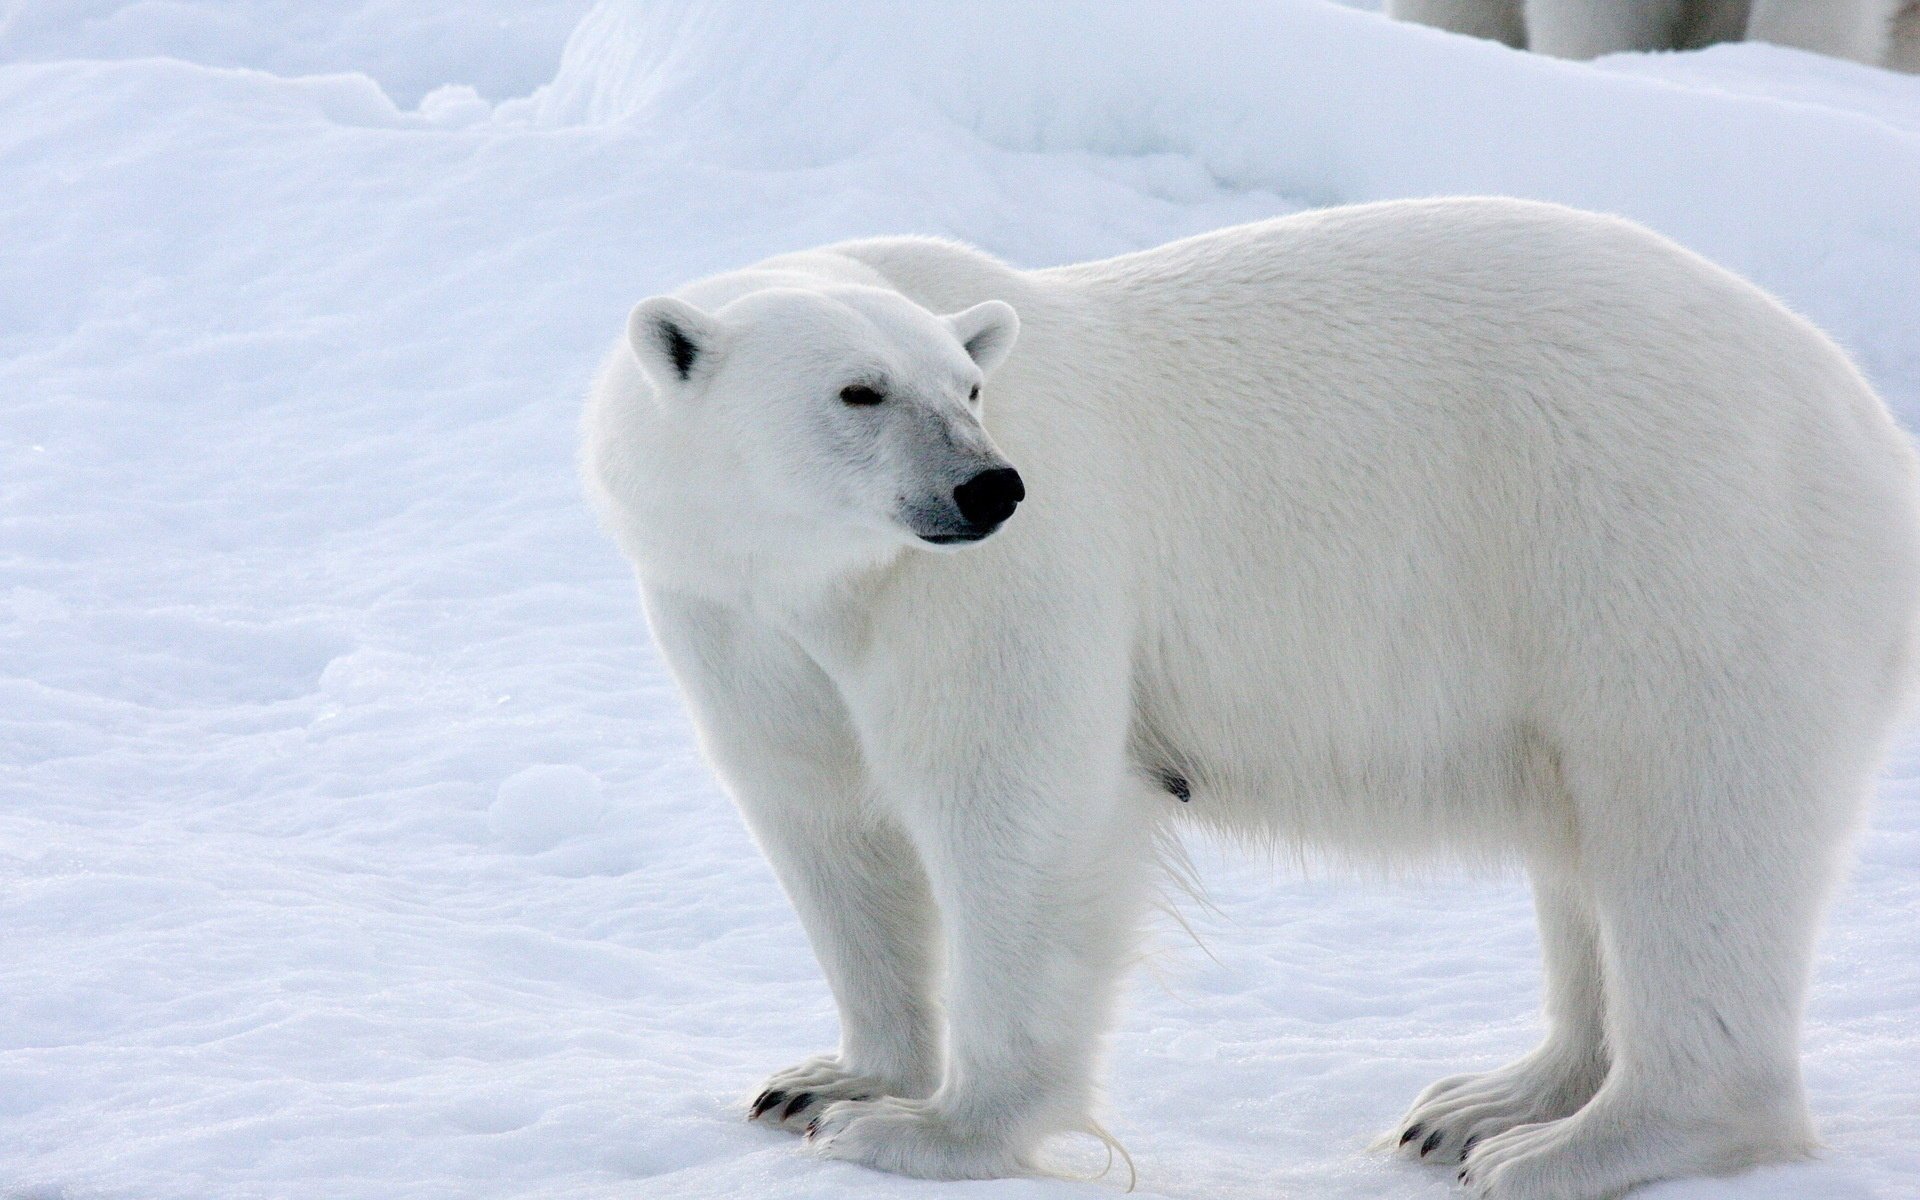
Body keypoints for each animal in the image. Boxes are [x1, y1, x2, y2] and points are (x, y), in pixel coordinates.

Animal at [583, 197, 1920, 1199]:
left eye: (967, 388)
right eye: (860, 391)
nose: (990, 488)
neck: (826, 573)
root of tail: (1868, 425)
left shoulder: (999, 584)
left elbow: (1014, 809)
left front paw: (931, 1132)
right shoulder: (733, 611)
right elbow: (823, 821)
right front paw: (827, 1080)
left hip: (1680, 552)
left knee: (1691, 832)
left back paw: (1574, 1146)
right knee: (1587, 839)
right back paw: (1484, 1101)